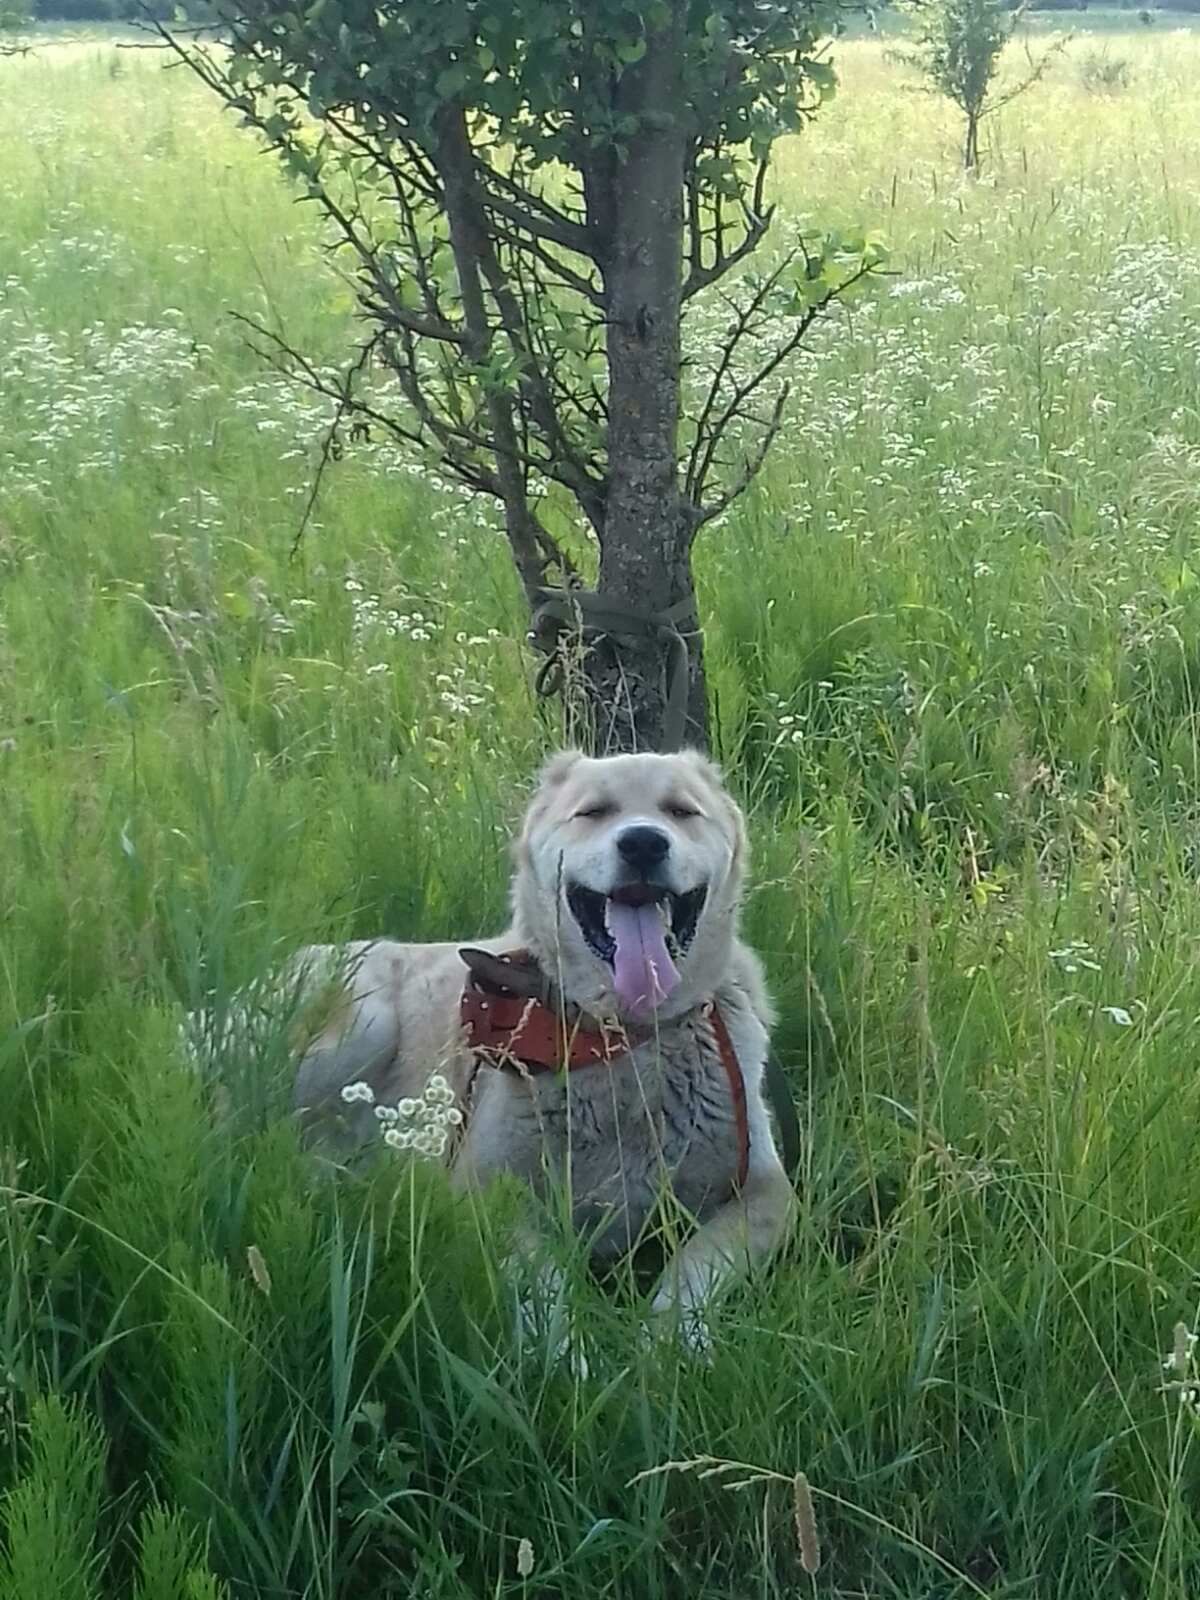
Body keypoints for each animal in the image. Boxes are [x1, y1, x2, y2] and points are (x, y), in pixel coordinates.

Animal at [281, 748, 793, 1350]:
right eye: (593, 812)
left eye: (681, 810)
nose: (644, 843)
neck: (621, 1038)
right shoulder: (481, 1193)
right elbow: (545, 1292)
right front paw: (573, 1361)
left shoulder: (768, 1193)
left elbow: (692, 1272)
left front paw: (667, 1347)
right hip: (362, 1023)